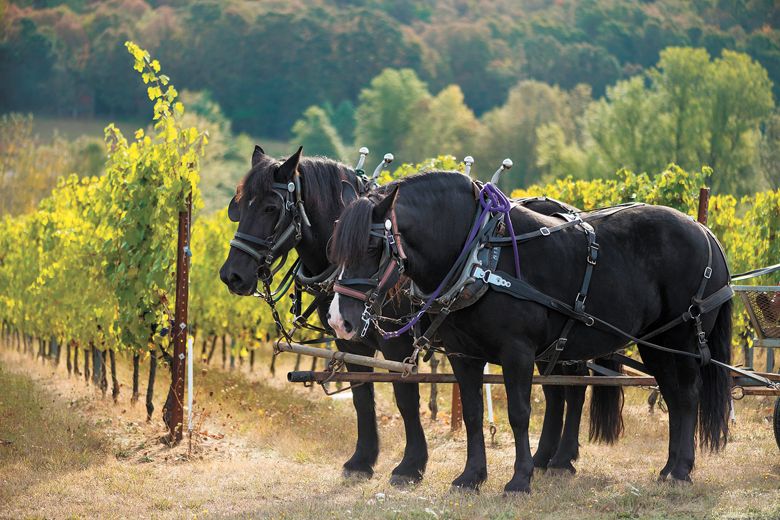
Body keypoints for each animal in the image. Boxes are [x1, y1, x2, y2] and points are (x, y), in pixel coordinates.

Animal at [219, 146, 620, 484]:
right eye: (237, 207)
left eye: (271, 208)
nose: (231, 275)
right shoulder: (351, 342)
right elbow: (363, 397)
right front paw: (362, 460)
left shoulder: (397, 343)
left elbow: (404, 397)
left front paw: (410, 465)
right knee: (558, 390)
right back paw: (547, 457)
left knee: (573, 387)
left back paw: (561, 459)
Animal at [328, 173, 732, 494]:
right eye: (334, 248)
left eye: (372, 246)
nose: (338, 321)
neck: (479, 255)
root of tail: (705, 233)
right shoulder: (464, 355)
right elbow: (473, 413)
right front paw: (471, 477)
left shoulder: (517, 352)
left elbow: (520, 413)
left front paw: (520, 480)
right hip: (655, 344)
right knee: (673, 397)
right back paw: (668, 468)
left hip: (680, 339)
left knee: (687, 396)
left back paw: (681, 470)